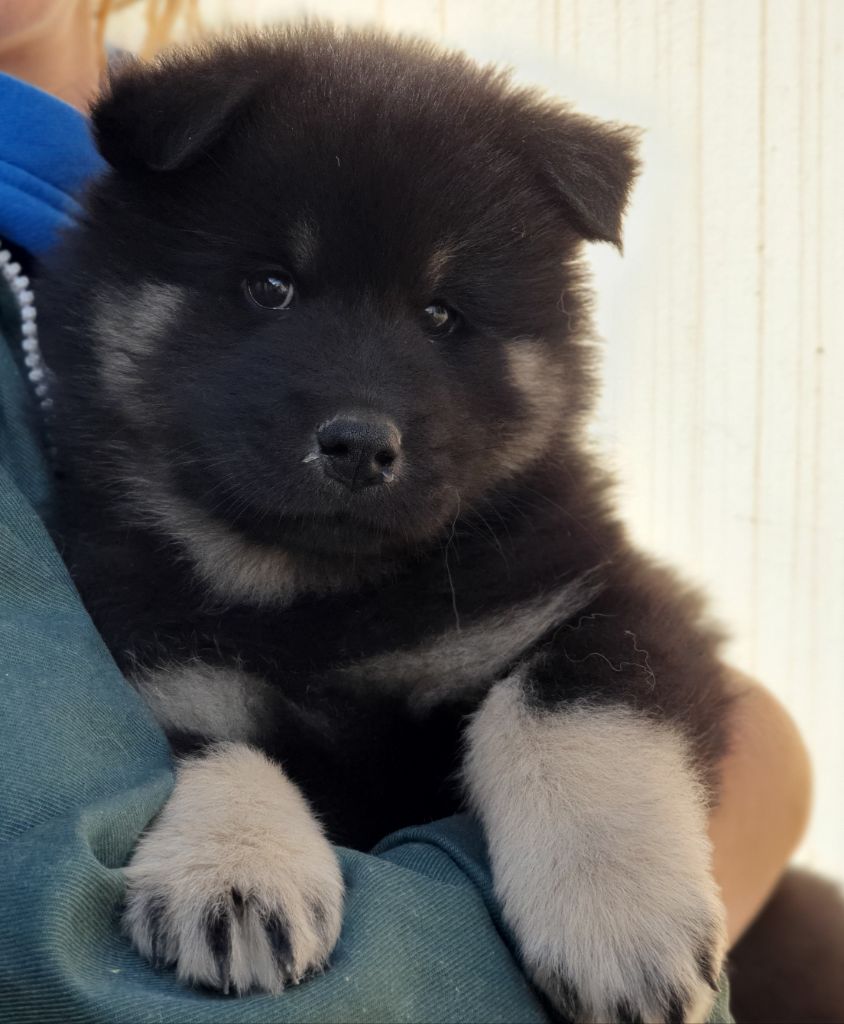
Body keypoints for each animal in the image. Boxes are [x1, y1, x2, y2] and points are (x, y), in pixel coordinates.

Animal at [39, 25, 732, 1023]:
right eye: (272, 287)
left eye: (441, 313)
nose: (361, 445)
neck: (320, 595)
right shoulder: (157, 655)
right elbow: (212, 746)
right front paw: (237, 873)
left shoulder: (597, 599)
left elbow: (573, 717)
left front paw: (619, 919)